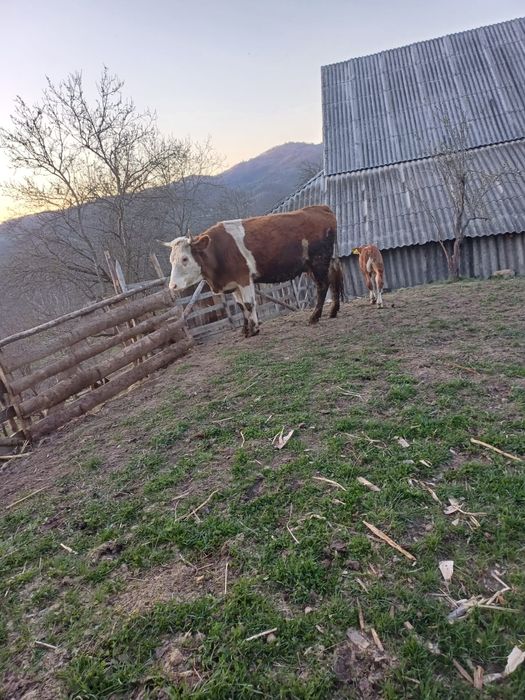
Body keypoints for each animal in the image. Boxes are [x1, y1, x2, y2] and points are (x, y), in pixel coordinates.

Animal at [161, 205, 343, 337]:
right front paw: (245, 329)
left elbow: (249, 304)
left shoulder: (244, 279)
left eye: (185, 259)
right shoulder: (233, 283)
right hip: (323, 262)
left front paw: (254, 329)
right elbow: (241, 306)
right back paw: (333, 311)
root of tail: (319, 208)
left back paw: (315, 316)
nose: (172, 286)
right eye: (171, 260)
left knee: (322, 286)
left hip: (318, 261)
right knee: (334, 278)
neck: (217, 250)